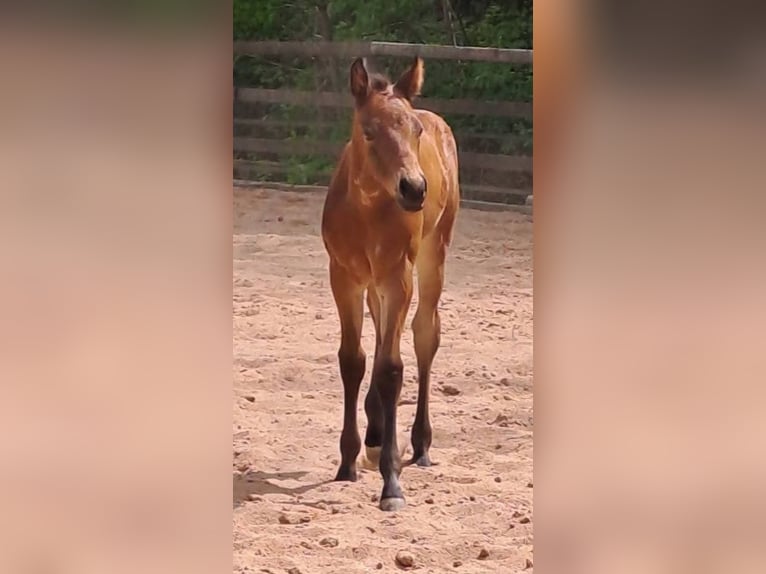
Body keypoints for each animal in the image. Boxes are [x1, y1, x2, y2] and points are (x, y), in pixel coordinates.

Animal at [321, 56, 460, 511]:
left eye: (414, 132)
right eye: (368, 130)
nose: (414, 189)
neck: (364, 209)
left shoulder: (398, 276)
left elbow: (391, 369)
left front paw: (392, 483)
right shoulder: (343, 276)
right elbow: (353, 360)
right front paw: (347, 461)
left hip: (433, 254)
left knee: (423, 335)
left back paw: (419, 444)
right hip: (372, 284)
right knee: (382, 330)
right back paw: (375, 435)